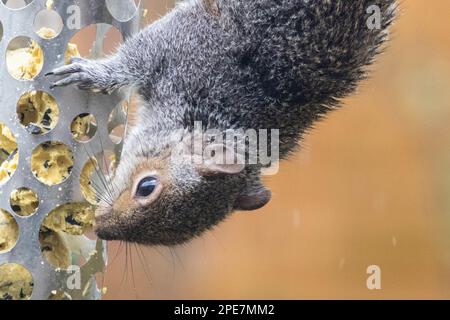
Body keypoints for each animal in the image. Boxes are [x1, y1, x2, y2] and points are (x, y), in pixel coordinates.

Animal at [47, 0, 396, 245]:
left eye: (174, 238)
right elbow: (132, 57)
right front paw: (94, 74)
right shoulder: (182, 46)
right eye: (147, 186)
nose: (101, 229)